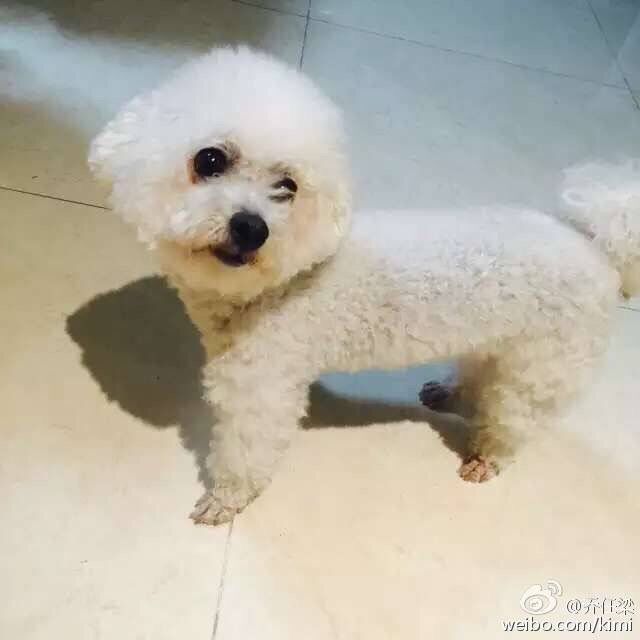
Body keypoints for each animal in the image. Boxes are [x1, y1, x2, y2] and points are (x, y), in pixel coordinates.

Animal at [89, 47, 640, 525]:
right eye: (209, 160)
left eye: (287, 186)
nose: (252, 227)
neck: (274, 286)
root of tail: (595, 244)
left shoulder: (262, 388)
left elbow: (246, 452)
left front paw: (225, 500)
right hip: (498, 343)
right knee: (480, 375)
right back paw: (448, 393)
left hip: (541, 367)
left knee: (515, 417)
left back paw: (488, 456)